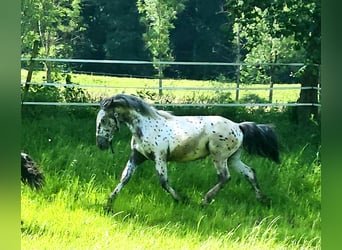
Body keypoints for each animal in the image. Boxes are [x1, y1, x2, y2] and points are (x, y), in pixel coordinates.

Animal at [96, 94, 280, 211]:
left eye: (104, 120)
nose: (101, 144)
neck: (146, 126)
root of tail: (238, 126)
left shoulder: (159, 157)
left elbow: (163, 181)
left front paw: (182, 199)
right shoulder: (137, 156)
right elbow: (125, 178)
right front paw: (108, 204)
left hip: (219, 156)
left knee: (225, 177)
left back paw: (204, 201)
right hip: (233, 158)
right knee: (249, 172)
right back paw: (264, 201)